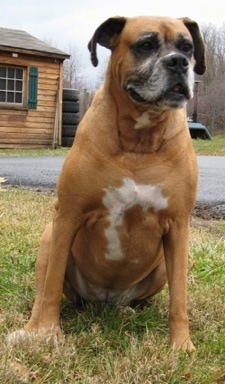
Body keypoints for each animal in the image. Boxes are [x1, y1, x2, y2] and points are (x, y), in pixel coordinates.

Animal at [11, 15, 206, 352]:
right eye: (145, 45)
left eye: (187, 47)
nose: (179, 62)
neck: (139, 141)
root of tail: (104, 300)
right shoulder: (69, 215)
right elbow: (51, 285)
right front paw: (49, 332)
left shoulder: (178, 227)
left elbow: (179, 298)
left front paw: (181, 345)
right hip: (50, 236)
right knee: (44, 288)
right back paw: (32, 328)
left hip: (160, 268)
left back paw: (130, 310)